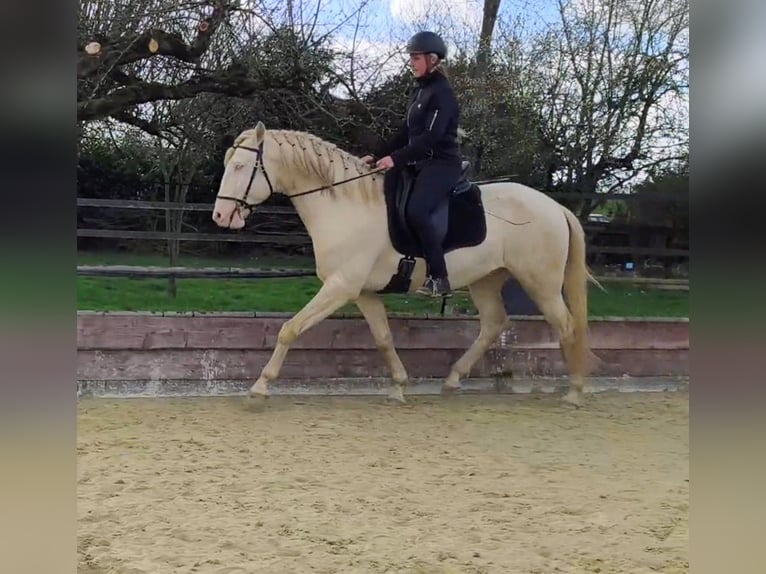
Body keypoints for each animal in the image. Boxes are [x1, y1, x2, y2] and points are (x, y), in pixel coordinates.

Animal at [211, 121, 599, 407]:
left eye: (241, 167)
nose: (220, 216)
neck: (345, 205)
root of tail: (555, 206)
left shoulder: (340, 286)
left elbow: (290, 329)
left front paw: (260, 387)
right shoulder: (362, 292)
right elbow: (383, 338)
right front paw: (398, 385)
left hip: (541, 283)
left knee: (566, 326)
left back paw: (574, 391)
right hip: (487, 279)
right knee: (493, 324)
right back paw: (453, 380)